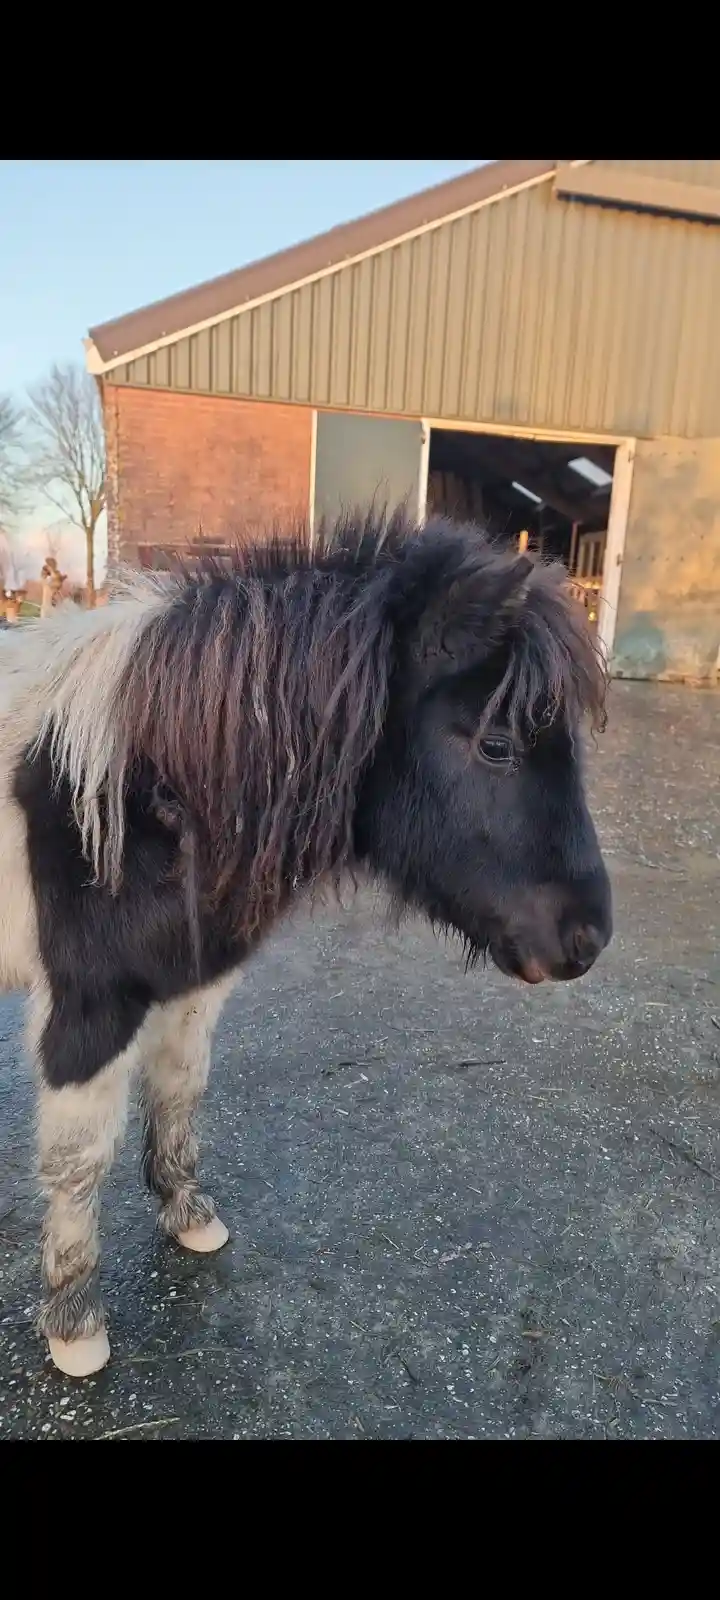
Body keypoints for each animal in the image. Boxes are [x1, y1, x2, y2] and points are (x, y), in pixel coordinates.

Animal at [0, 512, 612, 1378]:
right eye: (497, 745)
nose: (587, 938)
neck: (140, 785)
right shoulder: (89, 1012)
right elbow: (79, 1158)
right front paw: (75, 1320)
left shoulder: (190, 984)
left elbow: (180, 1093)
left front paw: (188, 1215)